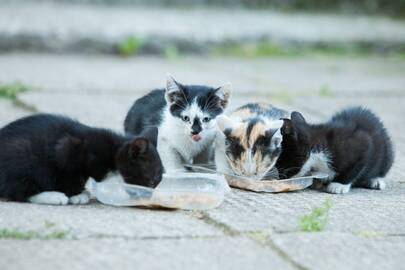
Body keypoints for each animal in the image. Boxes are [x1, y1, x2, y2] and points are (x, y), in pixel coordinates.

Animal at [0, 113, 163, 205]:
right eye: (151, 181)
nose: (149, 197)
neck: (112, 150)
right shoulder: (67, 150)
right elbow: (72, 176)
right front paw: (77, 194)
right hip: (24, 162)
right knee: (18, 191)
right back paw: (53, 196)